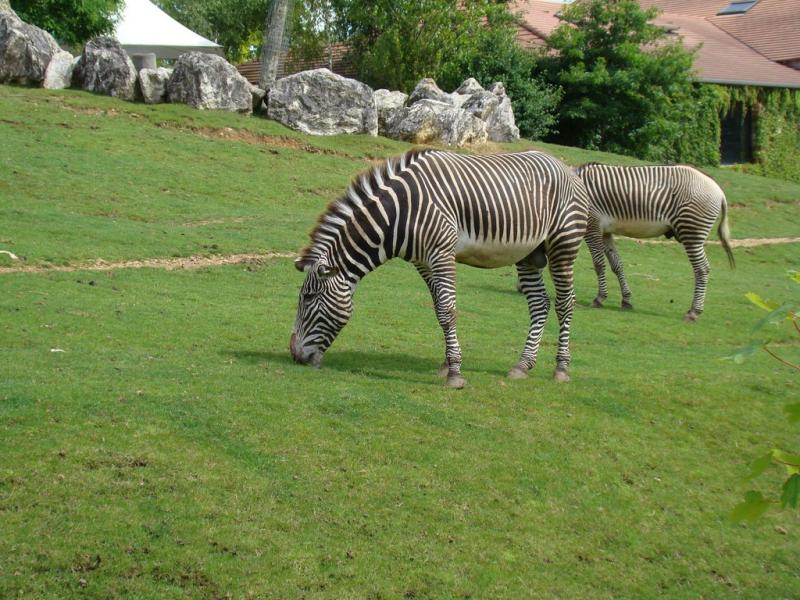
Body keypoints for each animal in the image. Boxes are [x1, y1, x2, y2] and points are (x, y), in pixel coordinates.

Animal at [290, 149, 589, 388]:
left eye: (308, 298)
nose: (294, 355)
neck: (399, 214)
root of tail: (565, 166)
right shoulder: (422, 261)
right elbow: (438, 309)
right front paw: (446, 364)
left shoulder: (442, 253)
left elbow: (447, 311)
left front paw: (455, 373)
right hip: (529, 253)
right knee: (539, 304)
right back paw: (522, 365)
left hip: (563, 244)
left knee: (565, 302)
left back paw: (561, 368)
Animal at [576, 163, 735, 321]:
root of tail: (718, 189)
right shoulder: (605, 232)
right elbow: (617, 265)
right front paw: (626, 300)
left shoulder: (592, 225)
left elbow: (599, 265)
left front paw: (599, 298)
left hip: (691, 233)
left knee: (702, 269)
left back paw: (694, 312)